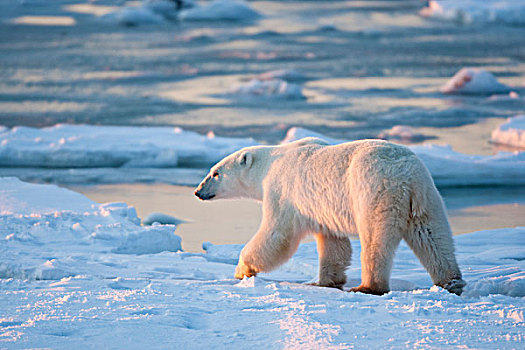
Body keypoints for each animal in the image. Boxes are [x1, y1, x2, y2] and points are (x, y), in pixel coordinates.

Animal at [194, 137, 464, 296]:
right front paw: (324, 282)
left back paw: (367, 286)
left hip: (374, 190)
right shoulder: (321, 209)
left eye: (215, 173)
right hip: (426, 197)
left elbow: (276, 235)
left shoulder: (283, 191)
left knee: (375, 240)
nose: (198, 192)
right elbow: (333, 243)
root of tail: (407, 177)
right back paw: (451, 281)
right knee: (433, 237)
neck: (270, 162)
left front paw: (242, 270)